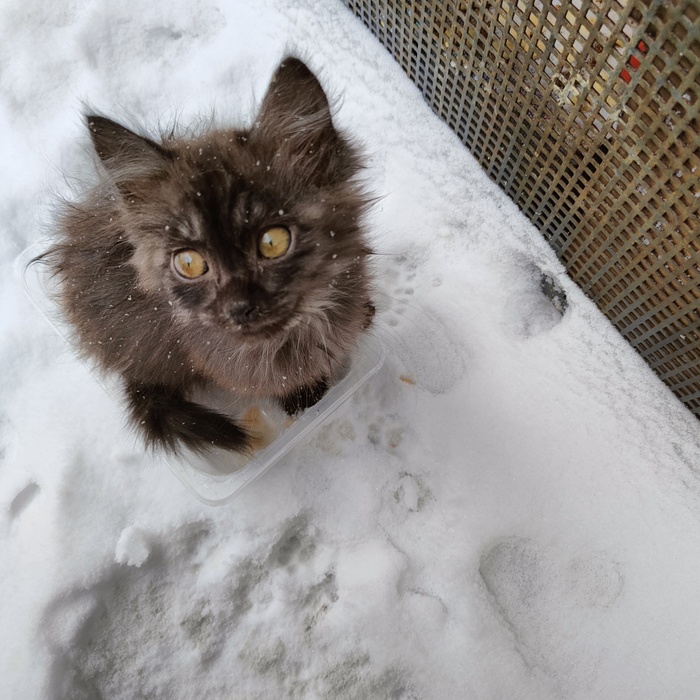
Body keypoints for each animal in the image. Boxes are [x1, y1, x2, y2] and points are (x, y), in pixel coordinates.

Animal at [42, 57, 375, 455]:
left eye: (273, 242)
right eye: (189, 263)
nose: (239, 308)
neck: (308, 320)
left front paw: (363, 316)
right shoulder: (219, 359)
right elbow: (276, 377)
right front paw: (303, 393)